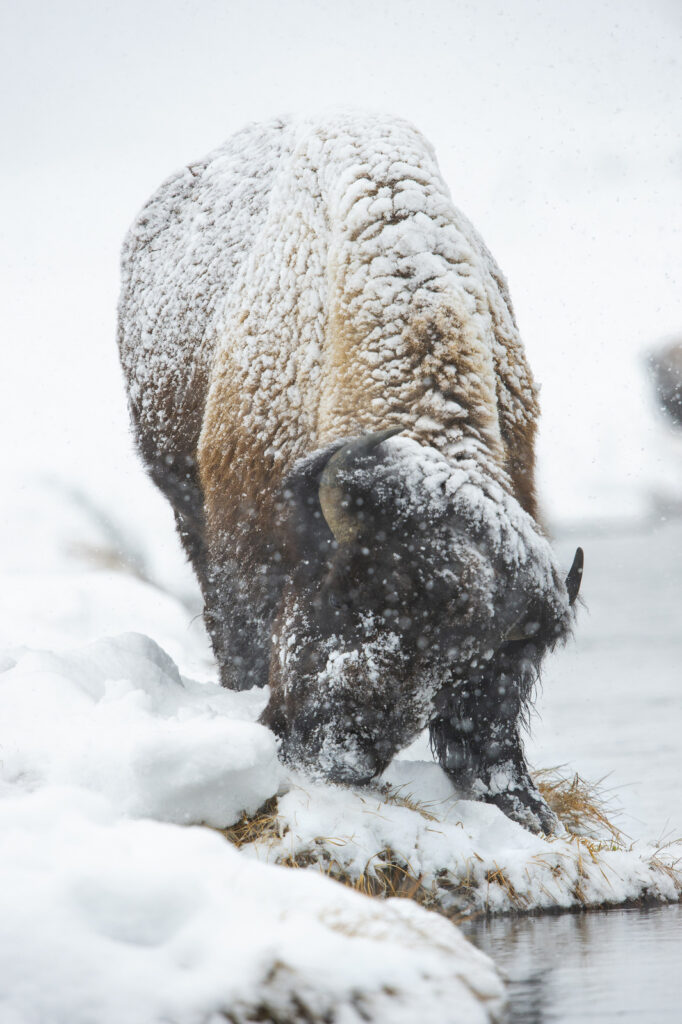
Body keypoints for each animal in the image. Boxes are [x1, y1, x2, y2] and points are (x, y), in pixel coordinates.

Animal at [116, 112, 577, 831]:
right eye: (352, 593)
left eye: (457, 663)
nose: (344, 755)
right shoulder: (245, 551)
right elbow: (244, 640)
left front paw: (523, 805)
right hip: (182, 501)